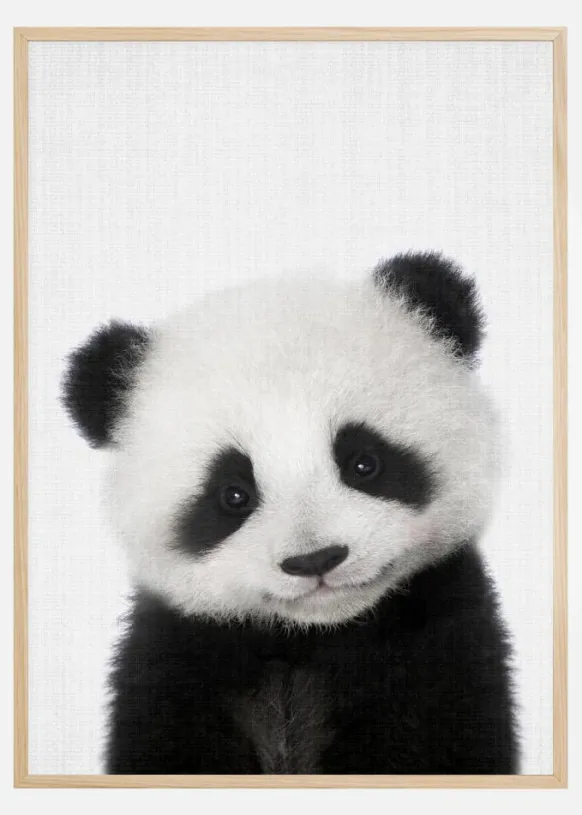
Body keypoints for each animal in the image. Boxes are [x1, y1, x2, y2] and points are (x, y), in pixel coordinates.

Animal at [62, 251, 518, 775]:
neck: (309, 638)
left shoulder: (438, 645)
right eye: (233, 494)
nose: (315, 560)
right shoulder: (177, 660)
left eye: (364, 462)